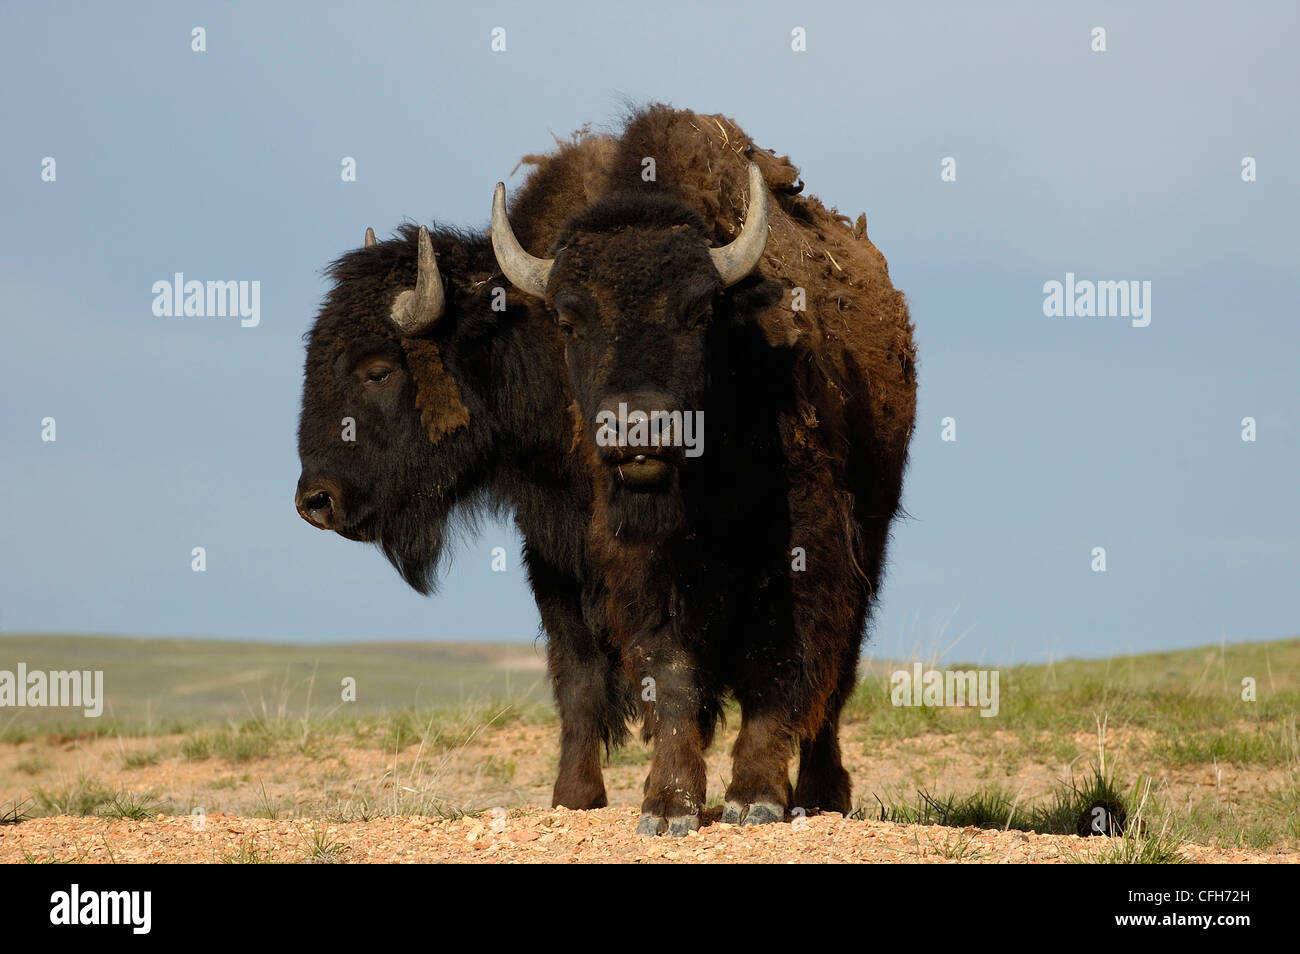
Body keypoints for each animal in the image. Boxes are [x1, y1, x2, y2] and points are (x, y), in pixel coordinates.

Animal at [491, 106, 920, 837]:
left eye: (698, 310)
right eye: (570, 318)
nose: (638, 429)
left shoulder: (801, 554)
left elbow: (782, 666)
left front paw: (756, 798)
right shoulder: (640, 569)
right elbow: (671, 673)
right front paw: (668, 807)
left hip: (873, 535)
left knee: (837, 677)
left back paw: (822, 792)